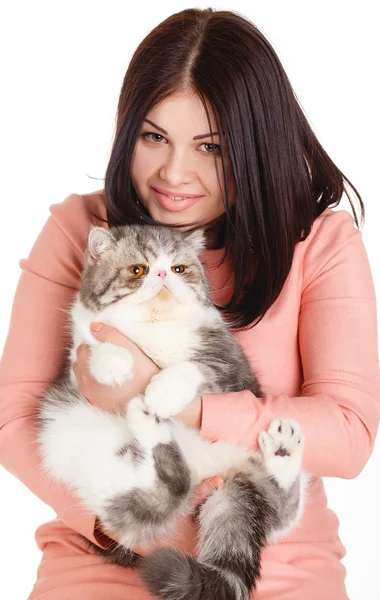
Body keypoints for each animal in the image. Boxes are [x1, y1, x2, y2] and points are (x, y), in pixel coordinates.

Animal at [35, 224, 308, 600]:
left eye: (178, 268)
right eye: (138, 269)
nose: (164, 274)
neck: (154, 326)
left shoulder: (230, 368)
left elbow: (193, 368)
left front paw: (162, 391)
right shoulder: (75, 370)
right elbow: (92, 345)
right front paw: (113, 364)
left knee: (276, 510)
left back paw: (281, 451)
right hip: (78, 444)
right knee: (156, 496)